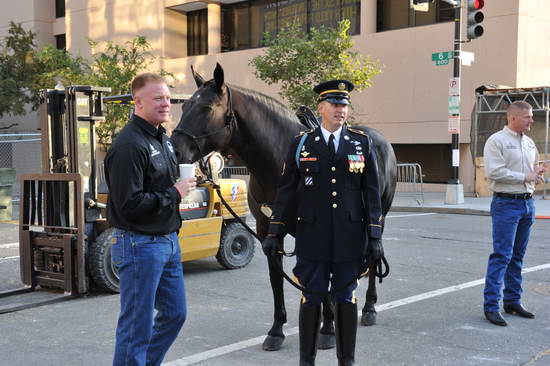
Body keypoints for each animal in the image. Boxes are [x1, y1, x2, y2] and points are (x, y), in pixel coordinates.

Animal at [171, 63, 396, 352]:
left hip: (378, 218)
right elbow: (277, 279)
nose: (174, 150)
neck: (277, 163)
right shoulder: (269, 231)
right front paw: (277, 330)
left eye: (206, 108)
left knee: (373, 256)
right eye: (185, 107)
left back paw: (368, 308)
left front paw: (327, 329)